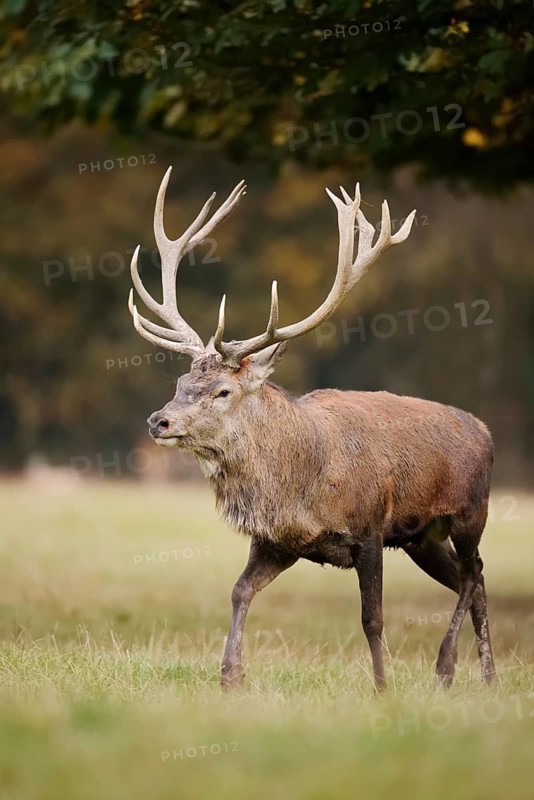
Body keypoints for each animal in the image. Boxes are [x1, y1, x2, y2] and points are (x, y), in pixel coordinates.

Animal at [128, 166, 496, 692]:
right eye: (180, 383)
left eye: (223, 391)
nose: (159, 420)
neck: (304, 485)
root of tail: (484, 431)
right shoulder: (279, 541)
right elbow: (239, 590)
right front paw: (230, 676)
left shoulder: (369, 528)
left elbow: (372, 618)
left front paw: (383, 688)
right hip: (423, 538)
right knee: (477, 578)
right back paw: (489, 679)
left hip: (469, 513)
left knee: (471, 573)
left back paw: (446, 668)